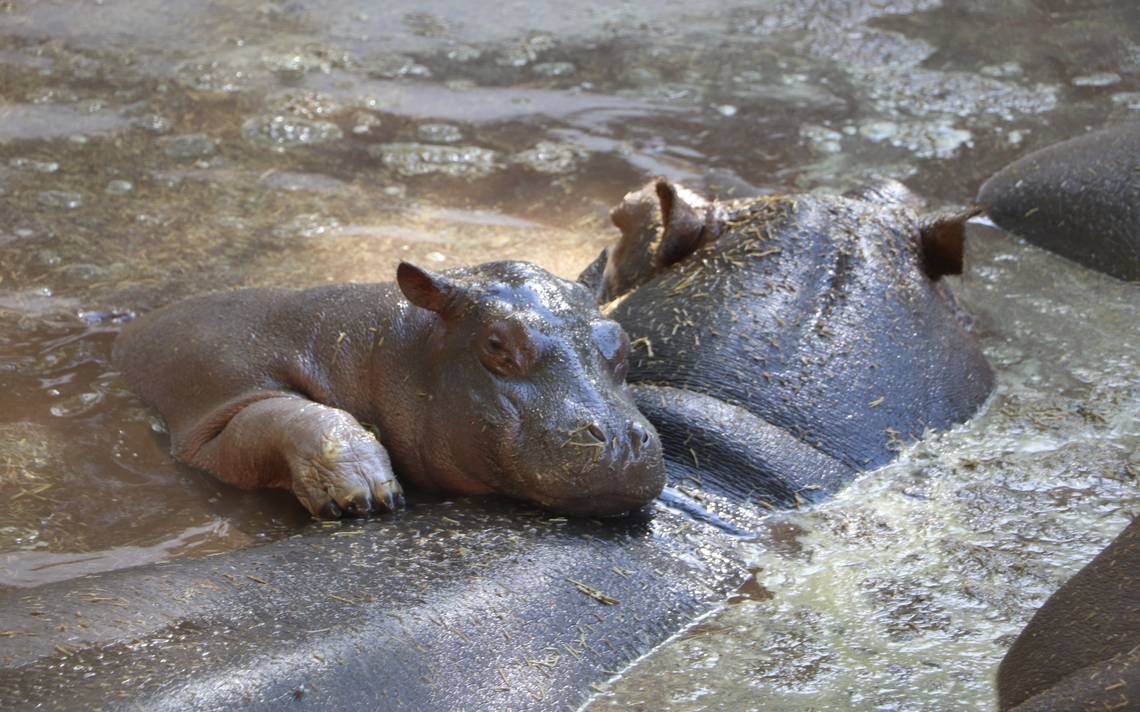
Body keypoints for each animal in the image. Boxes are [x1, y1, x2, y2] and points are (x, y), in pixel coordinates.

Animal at [111, 260, 665, 517]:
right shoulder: (216, 396)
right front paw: (366, 492)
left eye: (621, 341)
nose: (620, 439)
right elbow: (282, 414)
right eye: (496, 344)